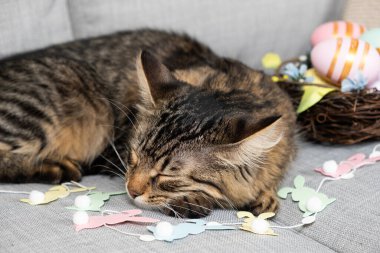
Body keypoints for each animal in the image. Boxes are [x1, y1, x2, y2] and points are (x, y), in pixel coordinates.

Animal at [0, 29, 296, 217]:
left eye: (167, 176)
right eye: (132, 157)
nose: (131, 191)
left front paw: (265, 195)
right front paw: (195, 201)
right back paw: (55, 167)